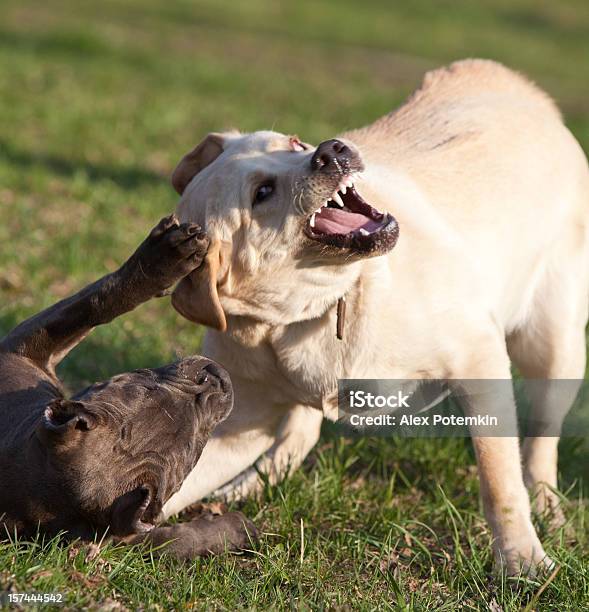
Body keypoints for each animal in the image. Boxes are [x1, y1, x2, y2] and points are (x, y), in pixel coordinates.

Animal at [161, 59, 588, 576]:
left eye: (294, 143)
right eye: (262, 191)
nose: (332, 150)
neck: (324, 305)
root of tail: (514, 82)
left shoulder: (479, 361)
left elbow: (499, 480)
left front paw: (521, 559)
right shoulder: (243, 420)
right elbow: (181, 481)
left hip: (553, 343)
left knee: (542, 441)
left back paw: (548, 509)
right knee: (297, 435)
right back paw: (248, 487)